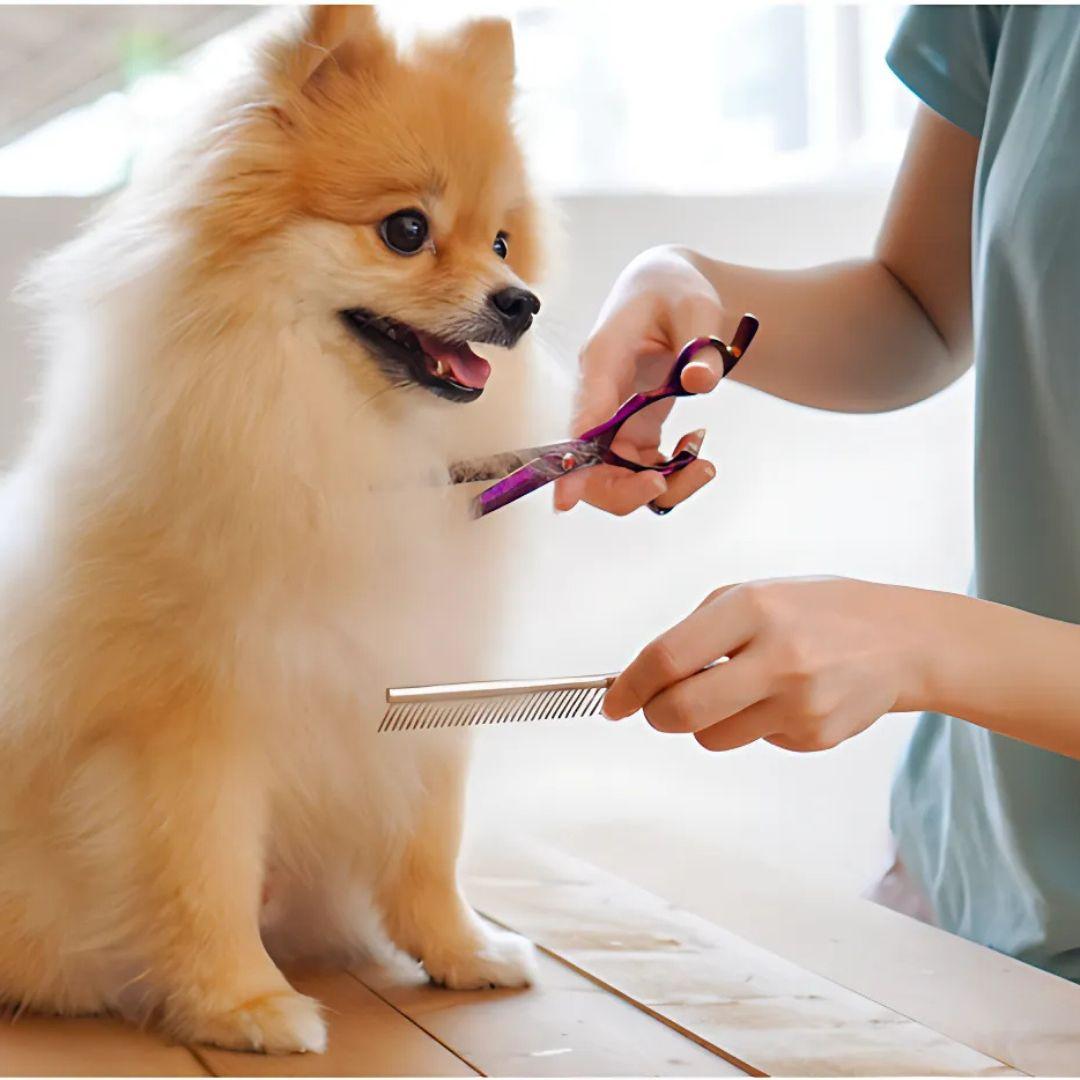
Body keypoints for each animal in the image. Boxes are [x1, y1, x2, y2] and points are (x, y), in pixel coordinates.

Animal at [0, 4, 548, 1049]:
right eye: (406, 230)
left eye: (502, 243)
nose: (522, 304)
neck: (338, 443)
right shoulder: (196, 724)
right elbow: (204, 875)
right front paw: (242, 1003)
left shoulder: (420, 691)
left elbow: (431, 846)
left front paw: (462, 951)